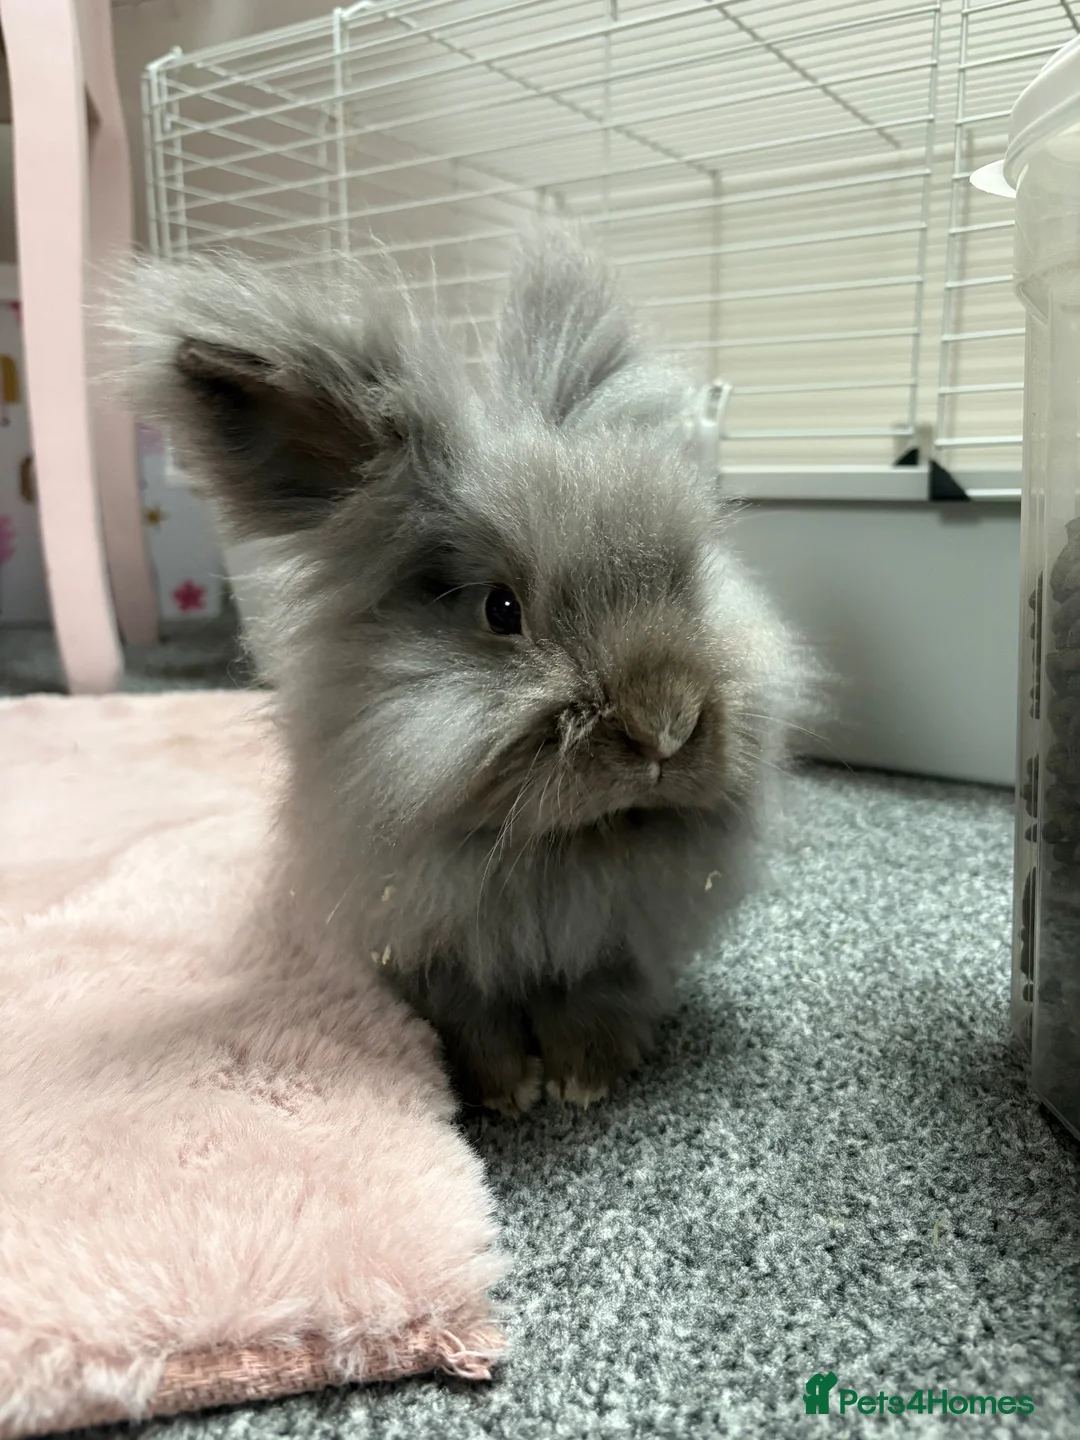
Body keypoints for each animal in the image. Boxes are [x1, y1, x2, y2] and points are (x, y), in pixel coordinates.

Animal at [120, 227, 812, 1117]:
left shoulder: (617, 943)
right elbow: (464, 1012)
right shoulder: (421, 941)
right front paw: (509, 1086)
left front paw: (585, 1074)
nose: (666, 725)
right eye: (501, 610)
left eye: (686, 578)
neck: (564, 853)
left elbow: (596, 997)